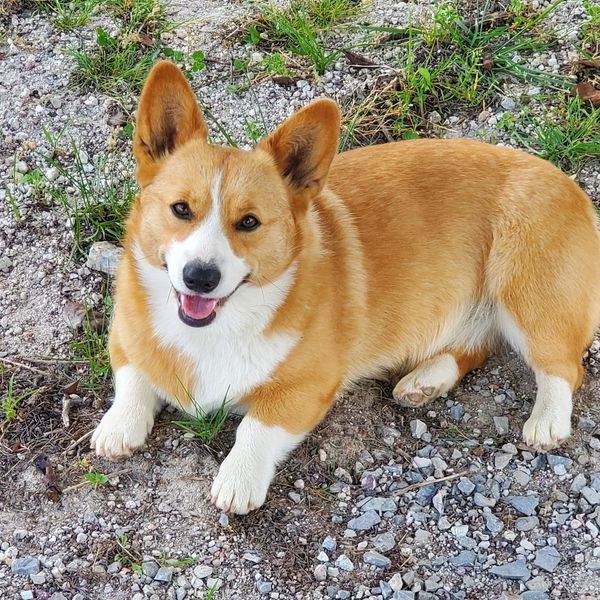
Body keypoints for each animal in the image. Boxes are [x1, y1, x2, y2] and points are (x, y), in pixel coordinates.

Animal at [90, 62, 600, 516]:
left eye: (249, 222)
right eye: (181, 209)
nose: (200, 277)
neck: (215, 329)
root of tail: (574, 189)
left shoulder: (308, 386)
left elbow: (255, 426)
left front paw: (238, 479)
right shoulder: (127, 338)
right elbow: (133, 376)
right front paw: (117, 427)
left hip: (527, 295)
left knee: (563, 368)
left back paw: (546, 421)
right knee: (477, 346)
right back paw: (424, 381)